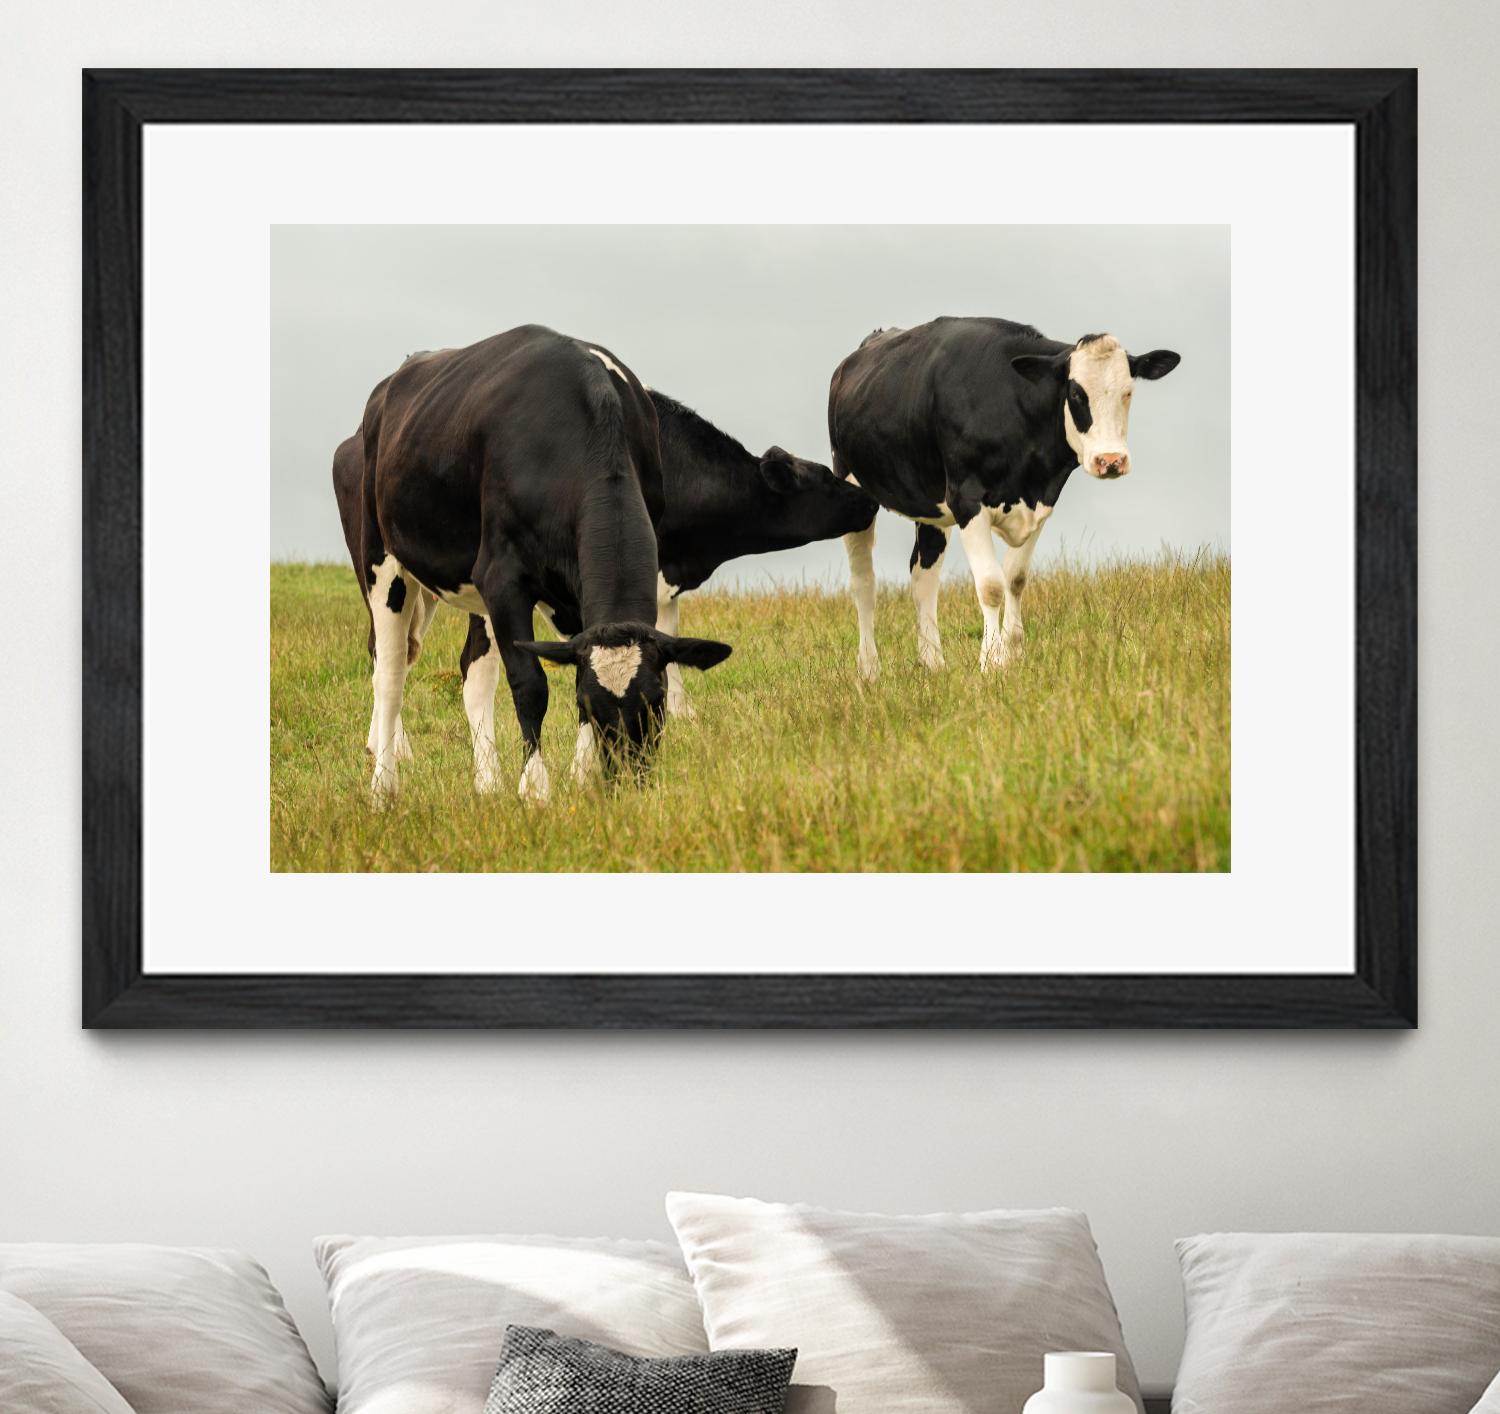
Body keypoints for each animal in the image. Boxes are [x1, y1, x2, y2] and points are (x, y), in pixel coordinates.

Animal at [350, 325, 732, 804]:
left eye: (657, 699)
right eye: (589, 704)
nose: (628, 780)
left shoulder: (574, 599)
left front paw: (582, 778)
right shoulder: (503, 579)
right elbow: (529, 683)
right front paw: (535, 789)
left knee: (475, 674)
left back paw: (487, 784)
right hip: (381, 560)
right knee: (390, 673)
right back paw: (384, 787)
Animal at [827, 319, 1180, 678]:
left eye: (1128, 391)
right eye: (1076, 393)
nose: (1111, 460)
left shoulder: (1041, 500)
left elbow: (1015, 578)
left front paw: (1013, 654)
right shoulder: (967, 500)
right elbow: (991, 585)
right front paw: (991, 660)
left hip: (931, 506)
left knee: (923, 575)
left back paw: (933, 663)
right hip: (854, 490)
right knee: (864, 582)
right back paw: (869, 668)